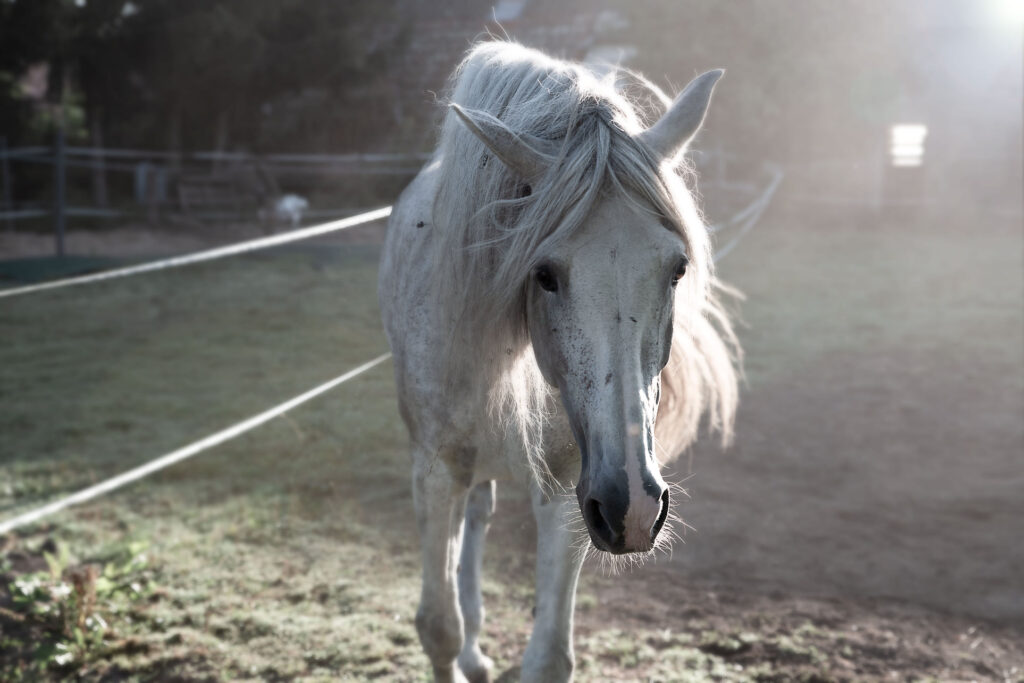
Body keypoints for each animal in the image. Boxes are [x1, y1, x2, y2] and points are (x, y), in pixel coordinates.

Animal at [380, 42, 741, 683]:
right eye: (543, 273)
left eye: (677, 268)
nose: (633, 507)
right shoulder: (436, 469)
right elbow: (438, 626)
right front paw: (458, 644)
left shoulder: (571, 481)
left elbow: (549, 653)